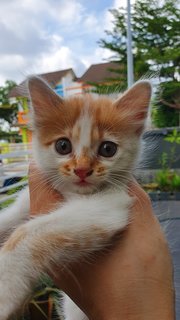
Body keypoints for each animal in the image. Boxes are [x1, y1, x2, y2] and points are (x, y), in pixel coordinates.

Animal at [0, 78, 151, 320]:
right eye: (63, 146)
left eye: (108, 149)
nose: (82, 170)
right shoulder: (26, 202)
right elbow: (10, 218)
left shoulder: (112, 203)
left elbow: (29, 231)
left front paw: (4, 286)